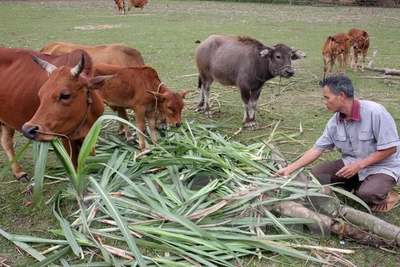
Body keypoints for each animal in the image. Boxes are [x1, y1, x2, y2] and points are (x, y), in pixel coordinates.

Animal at [0, 47, 109, 182]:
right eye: (40, 94)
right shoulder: (66, 138)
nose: (27, 129)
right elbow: (74, 166)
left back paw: (19, 173)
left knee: (6, 141)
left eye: (65, 95)